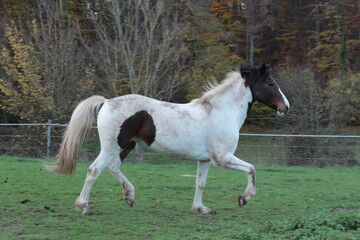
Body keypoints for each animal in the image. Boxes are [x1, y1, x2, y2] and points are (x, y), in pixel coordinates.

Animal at [49, 62, 290, 215]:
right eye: (270, 83)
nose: (286, 107)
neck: (220, 112)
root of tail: (106, 101)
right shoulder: (223, 158)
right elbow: (252, 169)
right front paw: (244, 198)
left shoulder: (205, 160)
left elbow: (200, 183)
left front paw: (201, 209)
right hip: (111, 147)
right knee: (94, 170)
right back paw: (84, 206)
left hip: (125, 146)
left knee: (113, 167)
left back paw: (130, 196)